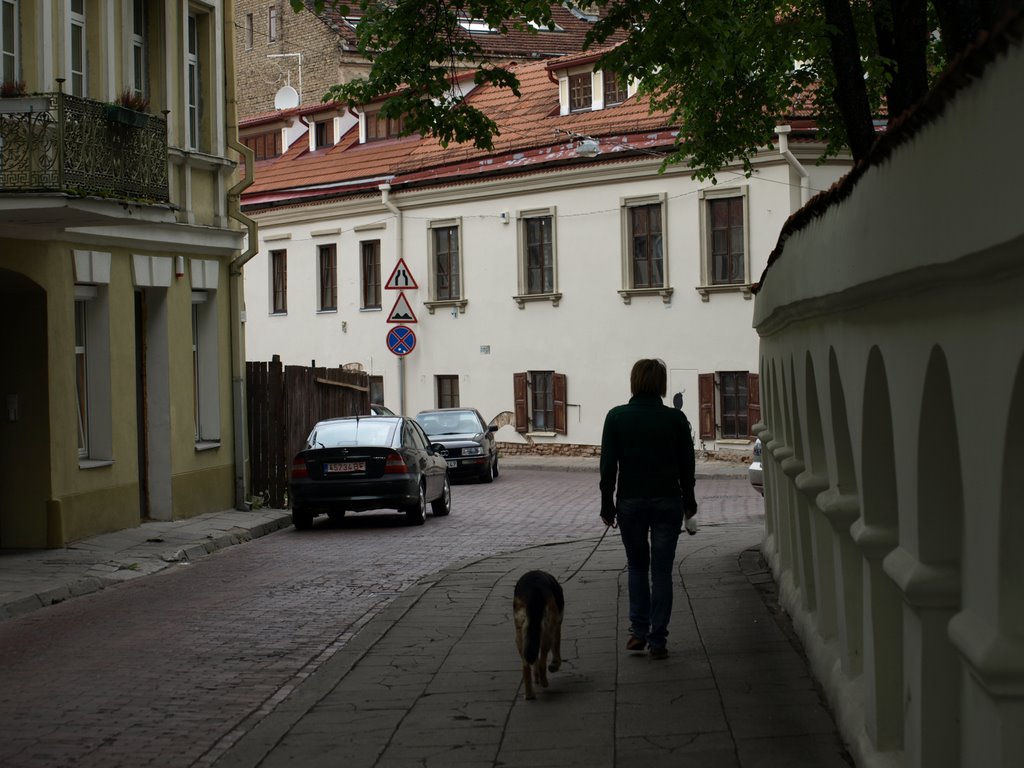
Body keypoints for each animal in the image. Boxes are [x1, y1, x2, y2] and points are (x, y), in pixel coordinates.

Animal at [516, 573, 565, 704]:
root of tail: (533, 590)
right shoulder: (556, 626)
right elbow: (556, 649)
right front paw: (555, 664)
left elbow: (535, 660)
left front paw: (536, 674)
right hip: (548, 630)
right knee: (543, 660)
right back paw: (544, 682)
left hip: (520, 633)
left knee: (526, 665)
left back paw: (529, 694)